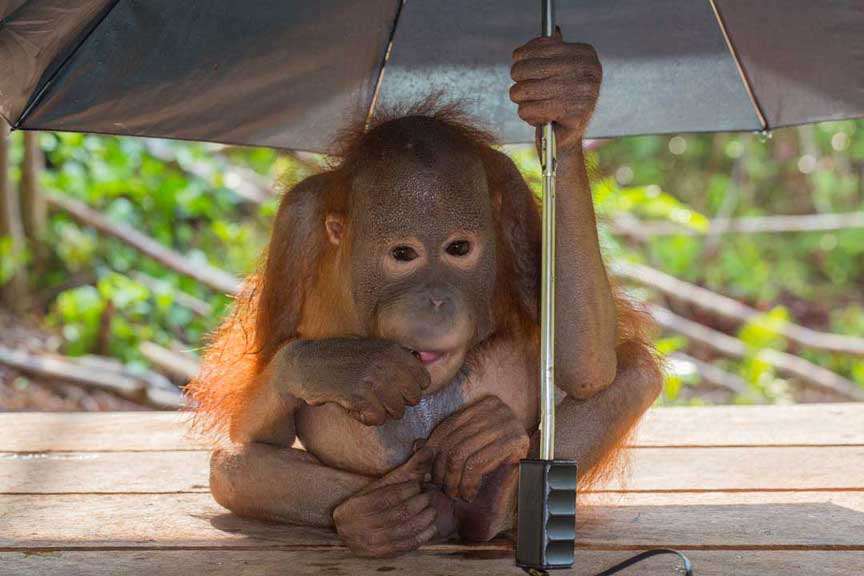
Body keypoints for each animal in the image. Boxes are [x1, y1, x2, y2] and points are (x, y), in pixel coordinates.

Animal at [187, 31, 662, 558]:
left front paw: (565, 94)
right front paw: (350, 367)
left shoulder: (513, 195)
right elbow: (261, 400)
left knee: (637, 371)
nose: (435, 301)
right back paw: (381, 516)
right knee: (230, 466)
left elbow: (588, 368)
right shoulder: (297, 220)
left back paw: (488, 489)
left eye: (458, 249)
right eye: (403, 254)